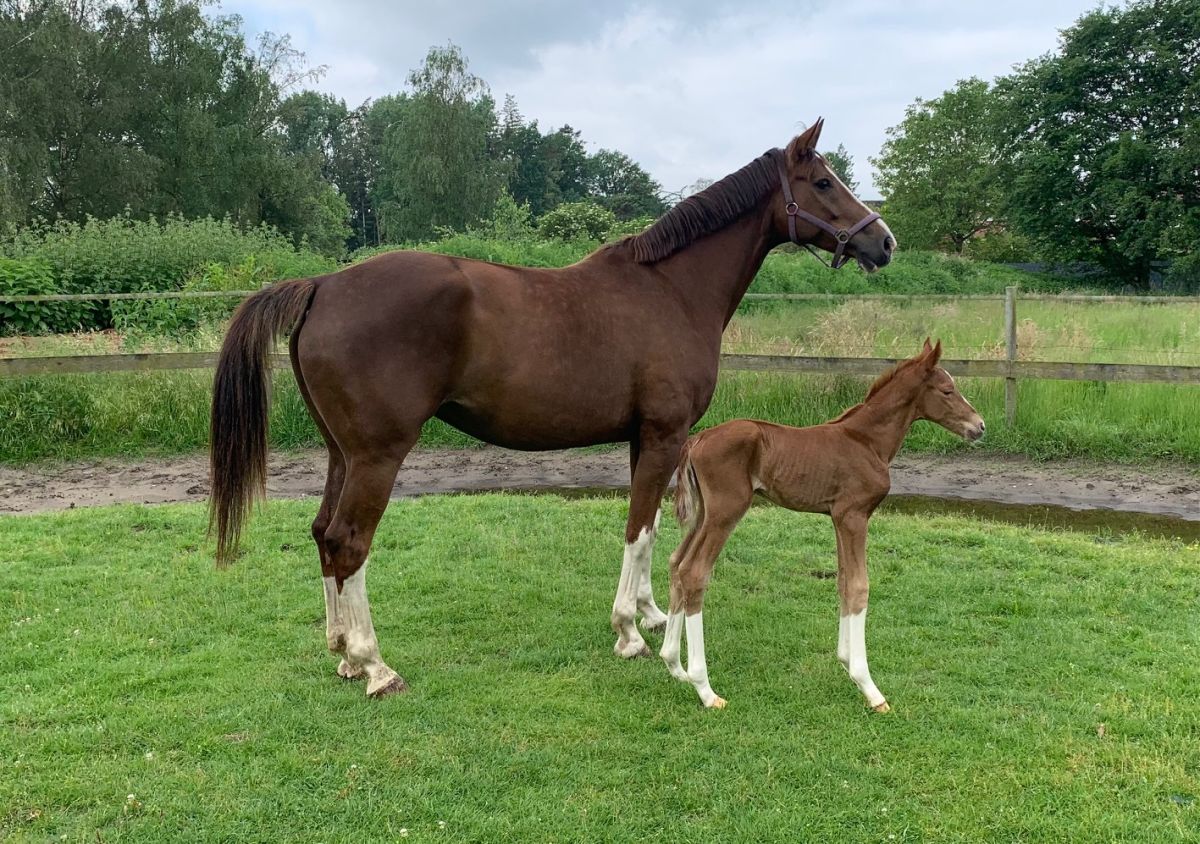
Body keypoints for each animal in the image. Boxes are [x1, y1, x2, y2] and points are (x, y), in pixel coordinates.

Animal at [667, 340, 984, 710]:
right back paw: (705, 689)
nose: (979, 426)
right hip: (726, 510)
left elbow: (844, 582)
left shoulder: (838, 516)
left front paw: (846, 661)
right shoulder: (854, 515)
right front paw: (869, 687)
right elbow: (860, 586)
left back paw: (674, 664)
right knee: (694, 572)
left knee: (676, 563)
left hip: (703, 513)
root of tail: (696, 441)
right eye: (947, 390)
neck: (866, 441)